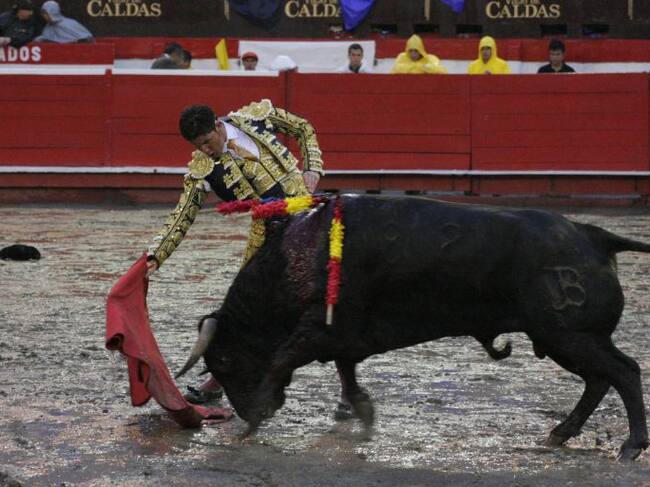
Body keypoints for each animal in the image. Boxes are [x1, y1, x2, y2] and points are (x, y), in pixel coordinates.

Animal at [177, 195, 650, 461]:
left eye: (224, 360)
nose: (246, 411)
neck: (301, 256)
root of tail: (593, 236)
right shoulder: (341, 334)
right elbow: (345, 371)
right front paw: (365, 415)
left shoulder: (317, 330)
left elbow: (282, 359)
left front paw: (252, 422)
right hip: (565, 339)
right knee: (599, 380)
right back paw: (560, 434)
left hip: (569, 336)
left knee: (623, 373)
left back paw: (630, 447)